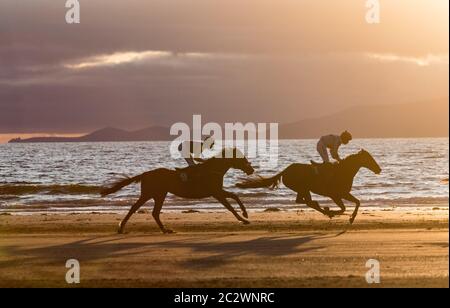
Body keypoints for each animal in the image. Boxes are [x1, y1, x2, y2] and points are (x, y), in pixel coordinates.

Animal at [102, 149, 255, 233]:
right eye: (241, 157)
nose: (251, 169)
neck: (212, 170)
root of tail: (145, 174)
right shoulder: (216, 193)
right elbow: (230, 206)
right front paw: (243, 218)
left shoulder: (217, 191)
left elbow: (234, 196)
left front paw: (245, 214)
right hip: (150, 194)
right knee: (136, 208)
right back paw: (121, 228)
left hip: (159, 194)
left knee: (154, 212)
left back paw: (165, 230)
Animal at [237, 150, 382, 224]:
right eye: (369, 158)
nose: (379, 169)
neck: (343, 171)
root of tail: (285, 170)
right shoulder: (335, 195)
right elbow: (344, 208)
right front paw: (335, 213)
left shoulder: (343, 193)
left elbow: (357, 202)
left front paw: (350, 217)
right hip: (302, 188)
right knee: (306, 201)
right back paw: (324, 209)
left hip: (303, 189)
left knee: (302, 201)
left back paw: (321, 207)